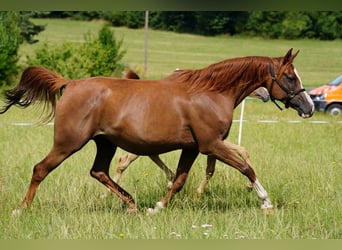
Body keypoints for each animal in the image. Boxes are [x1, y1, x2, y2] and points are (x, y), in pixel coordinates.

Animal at [114, 69, 270, 194]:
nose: (266, 95)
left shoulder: (213, 142)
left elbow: (238, 153)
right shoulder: (211, 141)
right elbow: (235, 154)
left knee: (148, 156)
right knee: (124, 161)